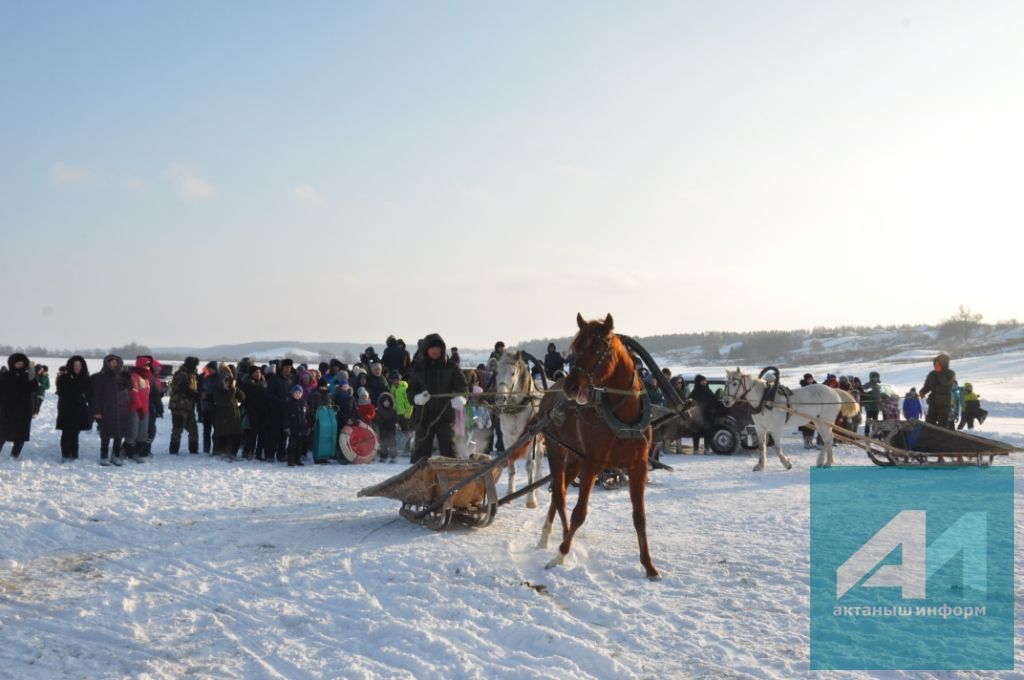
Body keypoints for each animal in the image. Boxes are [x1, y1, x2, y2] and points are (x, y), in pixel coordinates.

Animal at [493, 352, 548, 507]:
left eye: (513, 373)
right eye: (497, 372)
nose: (500, 399)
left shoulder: (529, 437)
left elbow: (530, 465)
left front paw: (531, 499)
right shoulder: (507, 438)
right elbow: (511, 466)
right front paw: (510, 494)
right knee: (540, 457)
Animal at [532, 311, 659, 577]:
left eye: (598, 350)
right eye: (575, 350)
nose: (571, 386)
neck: (624, 416)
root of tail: (548, 393)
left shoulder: (638, 466)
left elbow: (640, 516)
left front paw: (649, 565)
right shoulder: (592, 464)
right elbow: (580, 513)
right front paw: (560, 556)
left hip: (574, 458)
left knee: (558, 494)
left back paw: (549, 536)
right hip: (557, 450)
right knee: (559, 495)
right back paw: (556, 539)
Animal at [724, 368, 860, 471]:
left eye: (735, 383)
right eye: (726, 383)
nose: (725, 401)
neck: (765, 400)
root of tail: (833, 390)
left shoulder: (776, 428)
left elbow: (777, 448)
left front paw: (787, 463)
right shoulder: (760, 428)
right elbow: (762, 447)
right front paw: (760, 466)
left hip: (825, 421)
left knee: (828, 440)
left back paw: (825, 462)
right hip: (818, 421)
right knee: (828, 439)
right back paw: (827, 461)